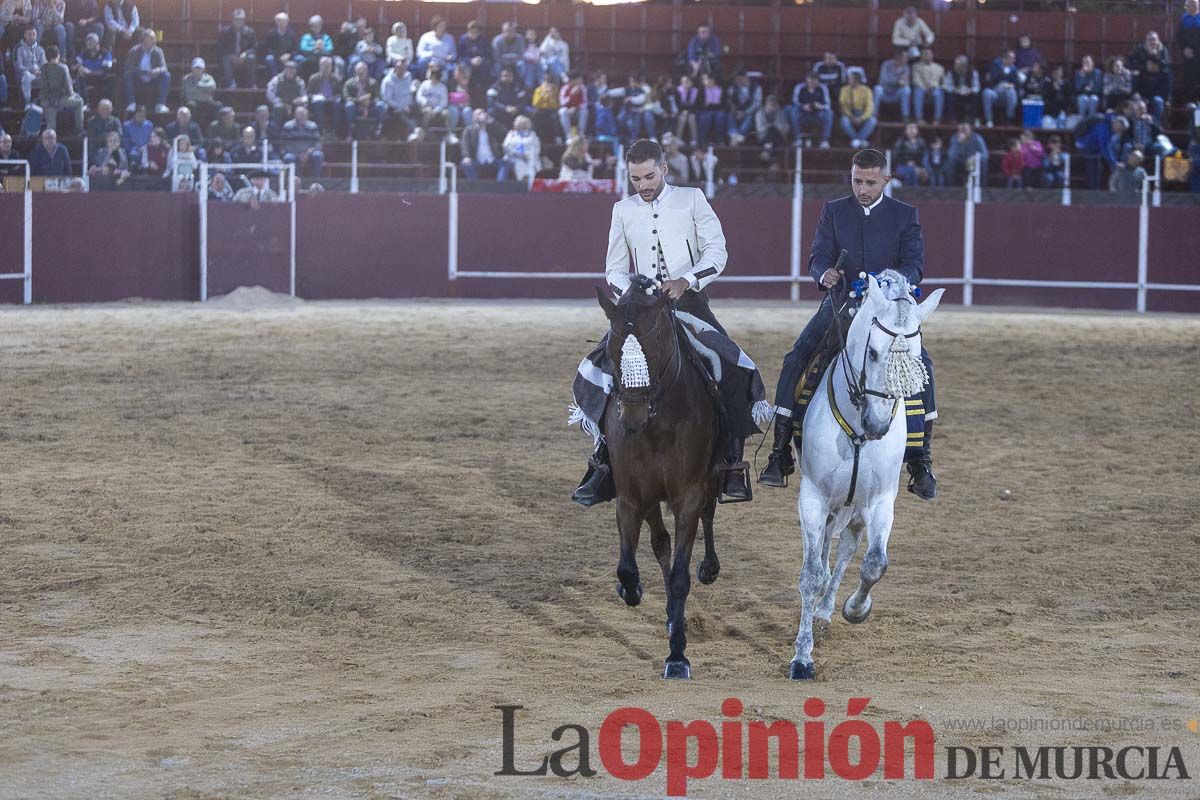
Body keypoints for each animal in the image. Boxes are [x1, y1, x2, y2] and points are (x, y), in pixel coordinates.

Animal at [597, 277, 720, 681]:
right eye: (612, 348)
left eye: (655, 343)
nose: (632, 418)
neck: (657, 425)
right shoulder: (631, 497)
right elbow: (627, 566)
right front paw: (630, 591)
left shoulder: (688, 496)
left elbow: (681, 575)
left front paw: (678, 656)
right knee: (660, 543)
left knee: (709, 516)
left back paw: (709, 569)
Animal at [792, 272, 940, 681]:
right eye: (872, 353)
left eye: (914, 358)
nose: (877, 425)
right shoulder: (812, 497)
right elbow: (810, 574)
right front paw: (802, 658)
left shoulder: (880, 501)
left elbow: (875, 563)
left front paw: (855, 610)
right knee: (825, 551)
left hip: (856, 506)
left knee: (846, 548)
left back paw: (826, 611)